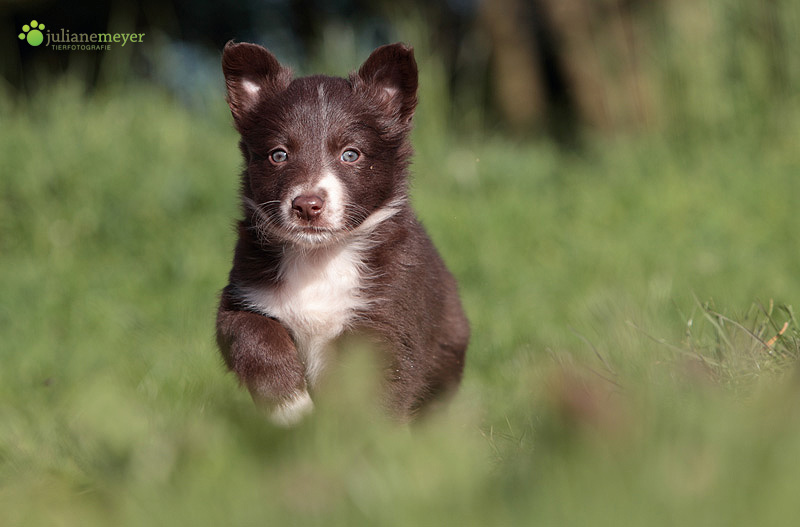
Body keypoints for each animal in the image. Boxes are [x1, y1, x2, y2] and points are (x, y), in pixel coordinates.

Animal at [216, 41, 472, 424]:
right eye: (279, 154)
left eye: (350, 154)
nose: (307, 206)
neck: (319, 256)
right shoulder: (243, 297)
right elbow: (252, 335)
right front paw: (292, 408)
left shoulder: (387, 315)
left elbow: (372, 391)